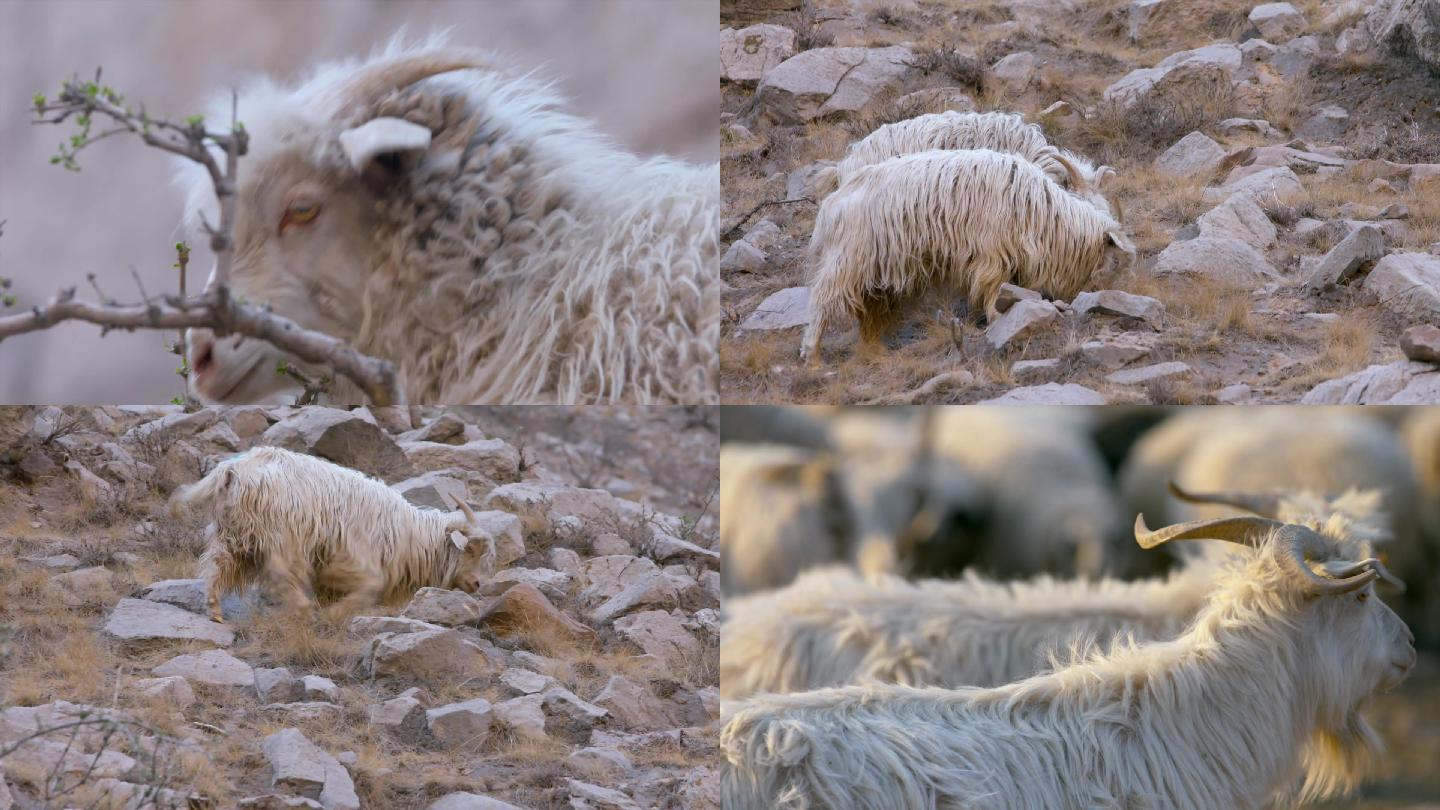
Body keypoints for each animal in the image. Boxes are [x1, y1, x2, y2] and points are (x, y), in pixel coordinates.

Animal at [167, 443, 495, 619]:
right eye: (470, 550)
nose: (478, 584)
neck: (408, 535)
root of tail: (232, 472)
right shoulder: (352, 559)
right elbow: (370, 587)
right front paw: (332, 615)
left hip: (232, 534)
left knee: (216, 565)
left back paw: (215, 611)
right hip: (281, 535)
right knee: (281, 571)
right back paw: (303, 610)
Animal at [806, 149, 1128, 363]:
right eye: (1112, 260)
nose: (1097, 294)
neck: (1040, 210)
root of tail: (832, 203)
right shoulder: (992, 254)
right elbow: (991, 291)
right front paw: (996, 319)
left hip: (878, 273)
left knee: (871, 310)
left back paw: (876, 351)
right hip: (848, 258)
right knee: (822, 300)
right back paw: (812, 355)